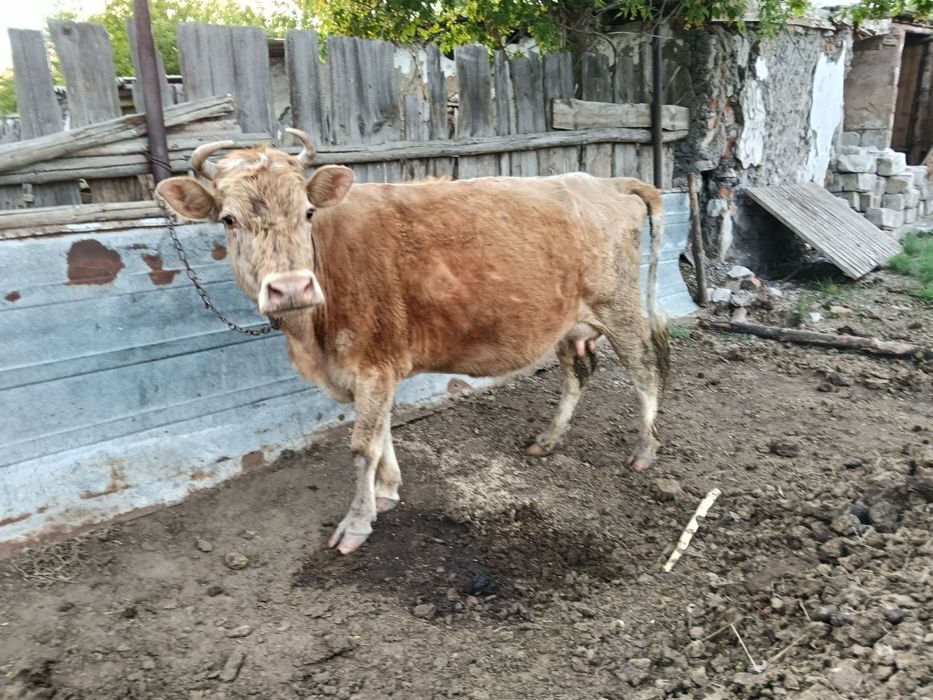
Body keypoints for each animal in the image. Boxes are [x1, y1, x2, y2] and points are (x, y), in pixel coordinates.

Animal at [155, 129, 669, 555]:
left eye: (307, 212)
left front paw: (357, 523)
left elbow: (363, 446)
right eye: (228, 219)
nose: (291, 287)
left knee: (645, 371)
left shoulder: (373, 366)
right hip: (569, 323)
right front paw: (386, 492)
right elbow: (382, 433)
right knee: (577, 374)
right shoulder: (373, 371)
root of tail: (605, 182)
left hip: (620, 307)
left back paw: (645, 450)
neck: (311, 338)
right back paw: (548, 440)